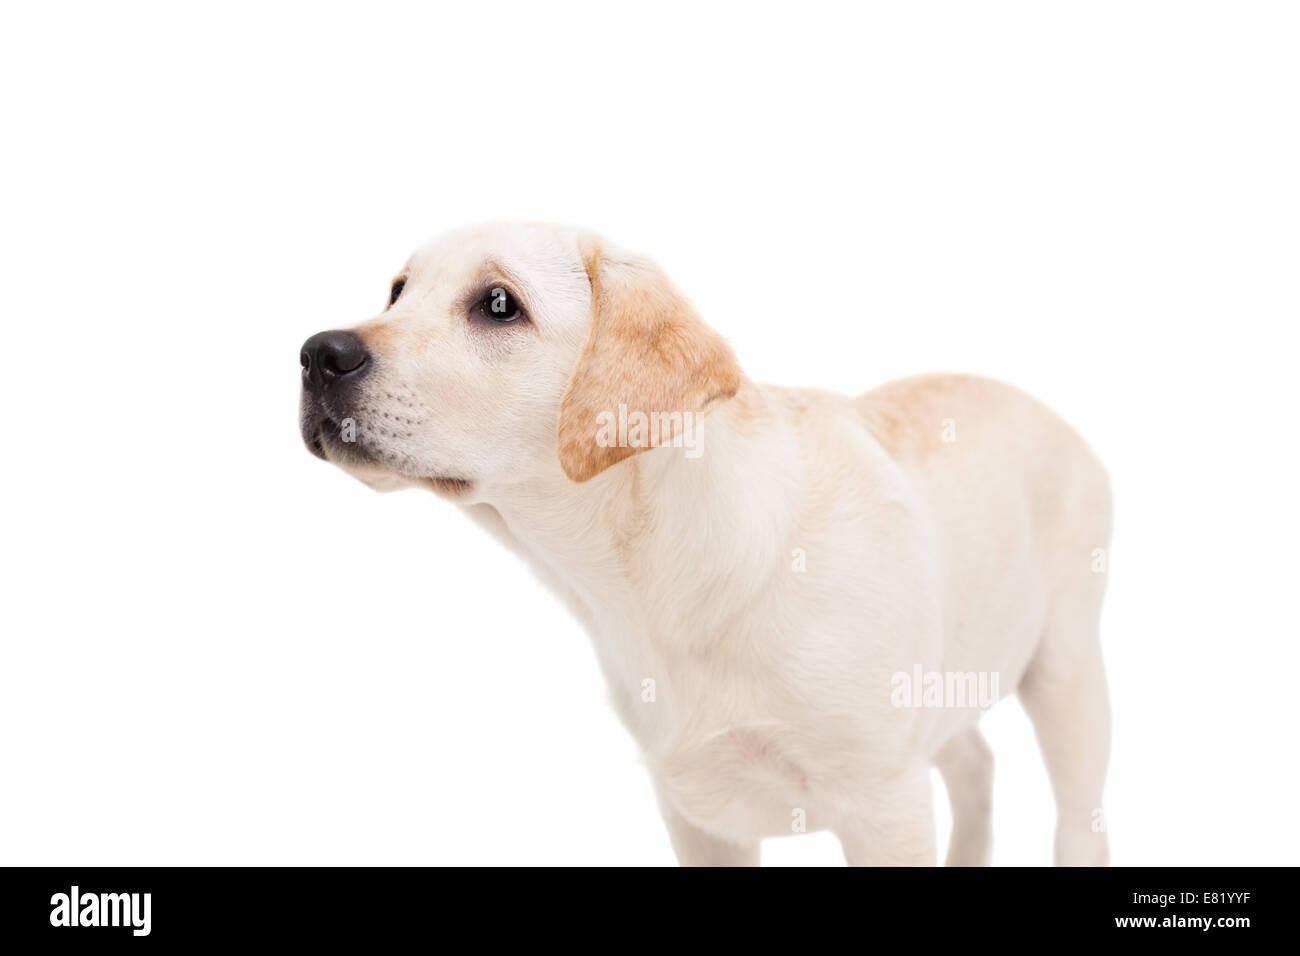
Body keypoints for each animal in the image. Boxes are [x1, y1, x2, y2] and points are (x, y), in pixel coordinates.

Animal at [299, 222, 1112, 868]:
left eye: (499, 304)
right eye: (397, 290)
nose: (316, 354)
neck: (651, 574)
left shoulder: (885, 801)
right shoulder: (698, 814)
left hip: (1066, 670)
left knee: (1079, 818)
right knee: (976, 764)